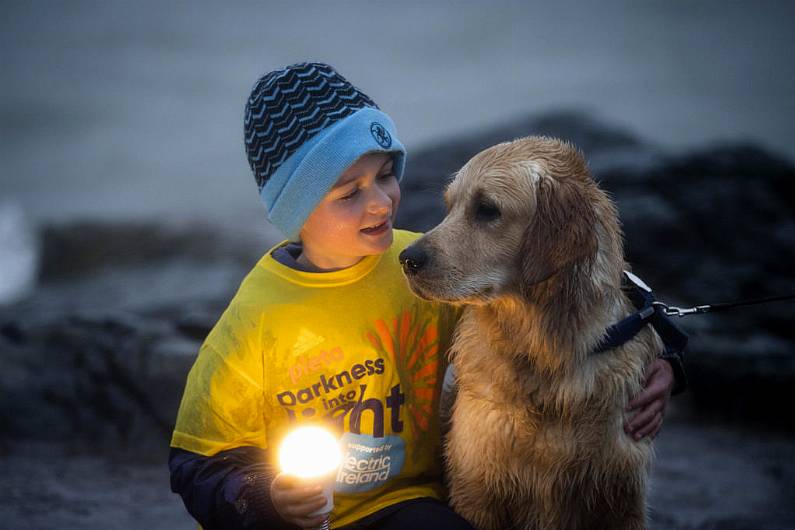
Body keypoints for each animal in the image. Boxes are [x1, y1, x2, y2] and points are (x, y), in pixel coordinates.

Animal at [402, 136, 664, 528]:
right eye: (449, 207)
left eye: (487, 209)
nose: (407, 259)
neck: (541, 356)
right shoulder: (478, 489)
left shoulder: (620, 495)